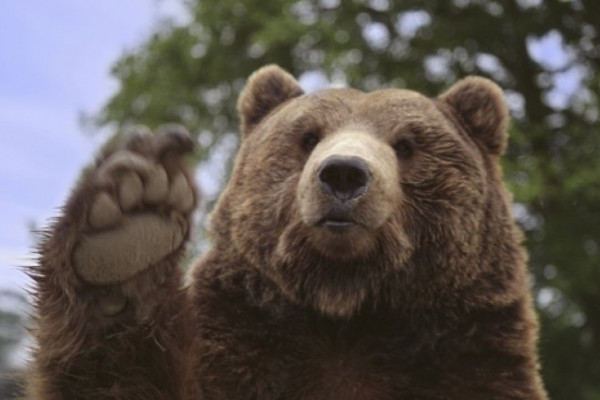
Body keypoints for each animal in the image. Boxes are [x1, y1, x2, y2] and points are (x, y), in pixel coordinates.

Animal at [28, 66, 548, 400]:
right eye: (308, 137)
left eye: (406, 145)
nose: (343, 174)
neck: (347, 305)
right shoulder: (238, 344)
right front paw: (128, 230)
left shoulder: (466, 358)